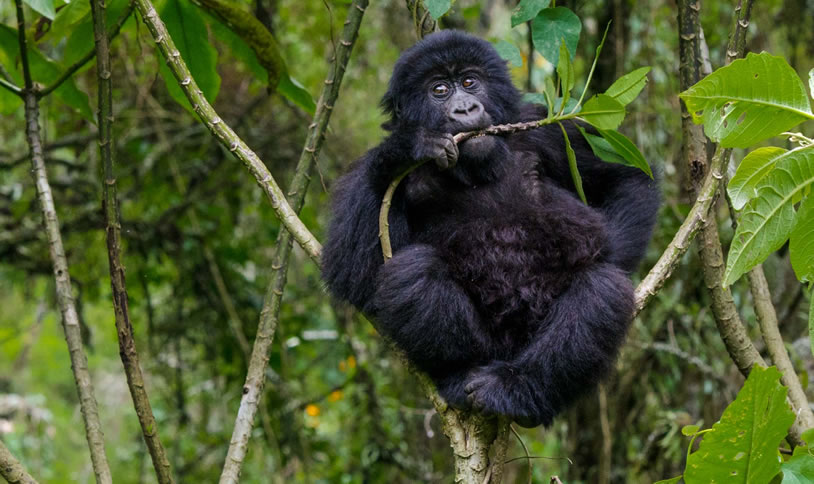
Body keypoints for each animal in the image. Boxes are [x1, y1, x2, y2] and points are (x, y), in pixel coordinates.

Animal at [322, 30, 660, 426]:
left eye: (470, 82)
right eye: (439, 90)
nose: (465, 109)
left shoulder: (548, 129)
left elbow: (629, 180)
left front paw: (609, 254)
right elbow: (351, 270)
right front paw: (406, 148)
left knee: (601, 288)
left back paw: (520, 389)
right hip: (491, 345)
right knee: (412, 271)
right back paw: (461, 374)